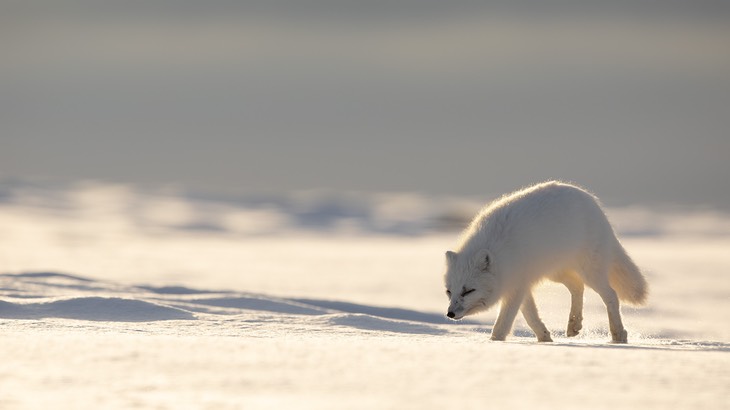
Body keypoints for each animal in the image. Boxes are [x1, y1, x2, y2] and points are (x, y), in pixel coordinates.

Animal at [440, 181, 644, 344]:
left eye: (468, 291)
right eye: (449, 291)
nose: (450, 314)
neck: (500, 253)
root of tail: (593, 202)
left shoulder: (517, 286)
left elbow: (505, 321)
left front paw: (495, 341)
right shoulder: (521, 285)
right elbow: (530, 316)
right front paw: (545, 338)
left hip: (590, 271)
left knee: (611, 295)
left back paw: (618, 335)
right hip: (555, 272)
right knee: (577, 286)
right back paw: (574, 324)